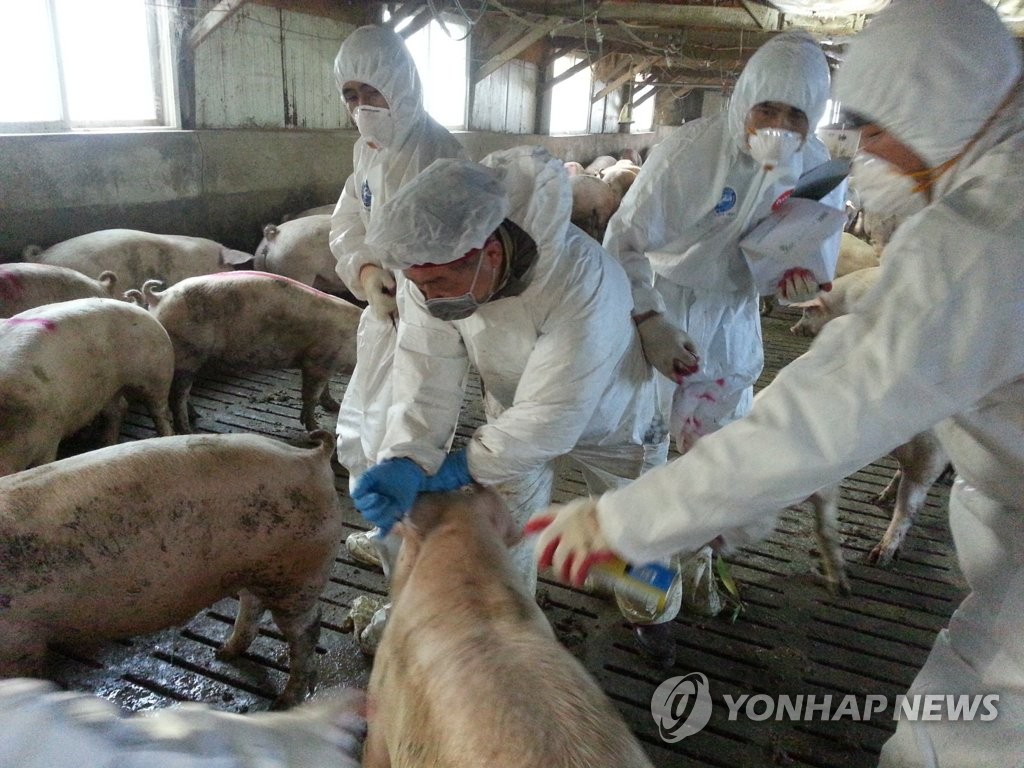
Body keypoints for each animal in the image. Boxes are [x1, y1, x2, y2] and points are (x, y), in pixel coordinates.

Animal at [0, 299, 174, 475]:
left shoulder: (49, 437)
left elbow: (45, 462)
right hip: (109, 388)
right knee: (118, 410)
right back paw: (106, 445)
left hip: (157, 374)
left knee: (161, 412)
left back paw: (168, 436)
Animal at [0, 434, 344, 708]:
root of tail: (311, 457)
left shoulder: (19, 642)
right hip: (260, 568)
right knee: (252, 604)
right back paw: (223, 654)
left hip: (299, 575)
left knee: (307, 631)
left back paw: (283, 701)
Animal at [136, 274, 360, 436]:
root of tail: (159, 297)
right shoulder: (317, 360)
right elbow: (311, 396)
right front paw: (317, 429)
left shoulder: (327, 363)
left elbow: (325, 390)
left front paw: (334, 406)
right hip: (187, 355)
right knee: (177, 397)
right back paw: (188, 430)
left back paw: (195, 416)